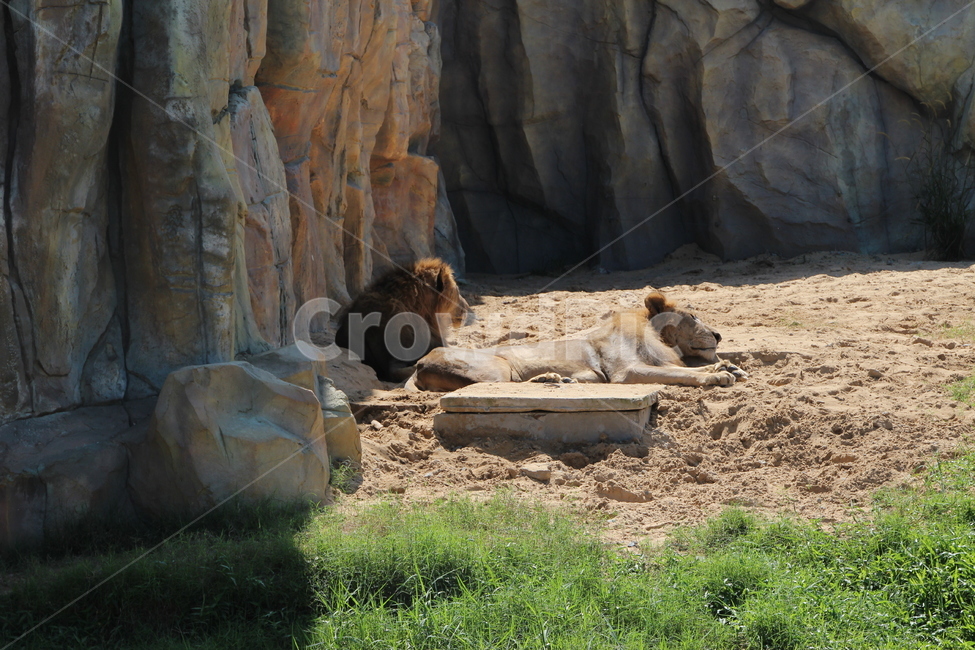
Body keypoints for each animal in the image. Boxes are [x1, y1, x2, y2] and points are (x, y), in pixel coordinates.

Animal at [411, 292, 746, 391]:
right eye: (692, 314)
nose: (719, 335)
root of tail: (420, 362)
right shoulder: (625, 373)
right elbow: (678, 373)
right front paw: (716, 375)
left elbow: (681, 368)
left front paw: (730, 366)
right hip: (496, 367)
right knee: (495, 386)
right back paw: (549, 379)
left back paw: (556, 379)